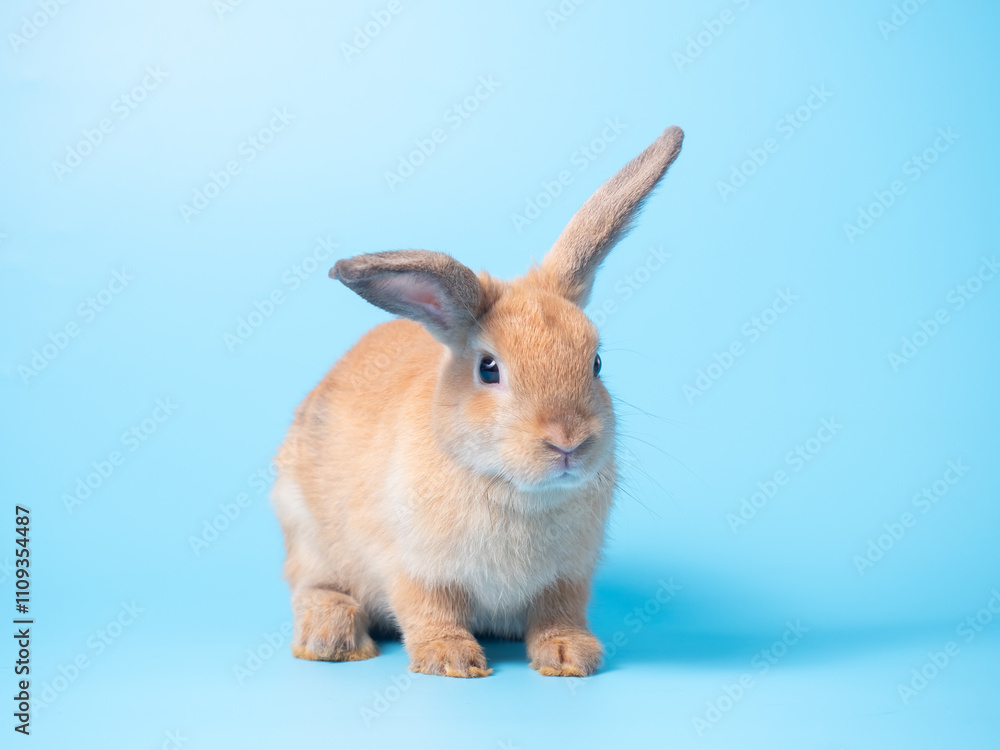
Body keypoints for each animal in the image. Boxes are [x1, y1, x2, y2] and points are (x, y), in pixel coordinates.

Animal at [272, 125, 683, 677]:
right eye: (489, 369)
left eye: (595, 362)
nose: (568, 441)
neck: (512, 488)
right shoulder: (414, 568)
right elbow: (429, 610)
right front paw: (452, 660)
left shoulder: (567, 579)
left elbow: (558, 613)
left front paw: (570, 655)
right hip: (305, 528)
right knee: (312, 585)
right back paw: (332, 638)